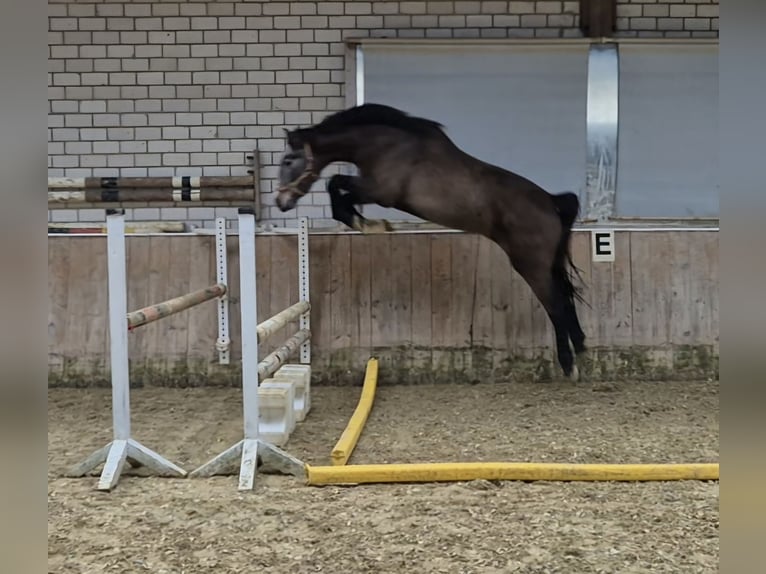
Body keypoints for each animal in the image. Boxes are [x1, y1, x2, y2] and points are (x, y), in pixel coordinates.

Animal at [276, 103, 587, 381]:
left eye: (288, 161)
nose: (281, 202)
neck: (385, 145)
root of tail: (551, 202)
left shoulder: (380, 191)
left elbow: (336, 187)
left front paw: (370, 225)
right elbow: (337, 187)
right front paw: (371, 224)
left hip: (531, 265)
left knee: (555, 305)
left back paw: (569, 365)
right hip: (548, 265)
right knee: (566, 297)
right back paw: (581, 348)